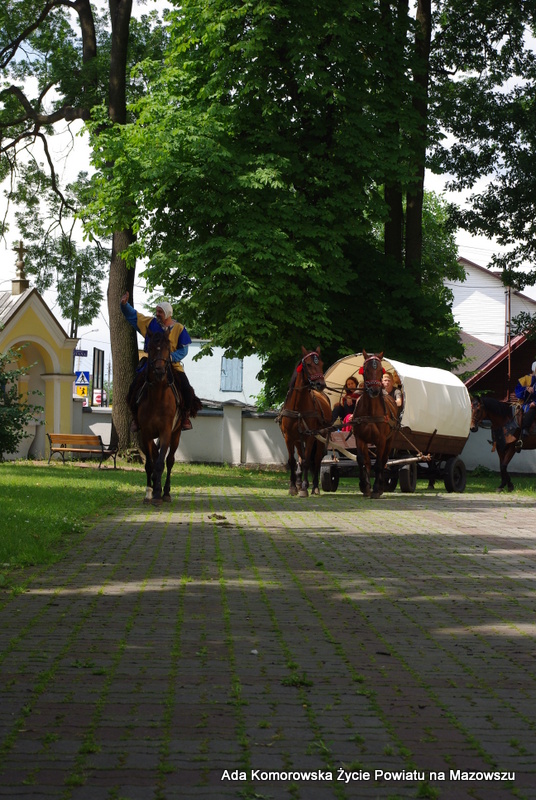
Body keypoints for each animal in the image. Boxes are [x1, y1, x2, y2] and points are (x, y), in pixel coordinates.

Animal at [137, 330, 184, 505]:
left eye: (167, 348)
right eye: (150, 347)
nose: (159, 371)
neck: (157, 398)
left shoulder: (166, 432)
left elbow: (160, 463)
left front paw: (158, 493)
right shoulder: (145, 434)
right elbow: (150, 464)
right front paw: (149, 492)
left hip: (176, 434)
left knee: (169, 460)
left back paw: (166, 492)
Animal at [278, 346, 332, 496]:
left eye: (321, 363)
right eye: (308, 364)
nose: (320, 384)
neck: (298, 408)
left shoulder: (310, 436)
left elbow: (308, 461)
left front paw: (304, 488)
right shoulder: (289, 438)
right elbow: (292, 461)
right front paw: (293, 486)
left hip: (320, 437)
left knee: (317, 459)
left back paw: (314, 487)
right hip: (298, 440)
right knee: (301, 459)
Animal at [351, 350, 399, 499]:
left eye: (379, 369)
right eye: (366, 369)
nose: (375, 390)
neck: (371, 411)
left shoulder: (381, 440)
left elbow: (378, 464)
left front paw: (377, 488)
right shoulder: (360, 438)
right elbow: (361, 460)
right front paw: (365, 486)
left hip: (390, 440)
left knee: (383, 460)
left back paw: (381, 486)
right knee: (367, 460)